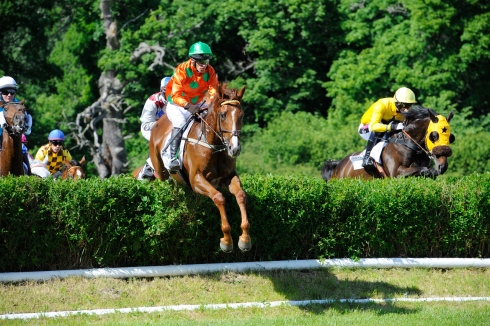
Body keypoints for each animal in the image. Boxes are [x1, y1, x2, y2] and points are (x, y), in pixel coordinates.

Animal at [148, 83, 249, 253]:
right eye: (223, 115)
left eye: (241, 115)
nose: (235, 149)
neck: (212, 144)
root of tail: (158, 122)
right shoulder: (196, 180)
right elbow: (219, 198)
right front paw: (227, 240)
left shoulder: (228, 176)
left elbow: (241, 195)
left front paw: (245, 239)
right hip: (160, 169)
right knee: (161, 178)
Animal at [322, 105, 456, 180]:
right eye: (434, 136)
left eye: (451, 137)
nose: (443, 166)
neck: (408, 145)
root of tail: (339, 165)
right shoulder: (396, 172)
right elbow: (423, 169)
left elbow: (428, 171)